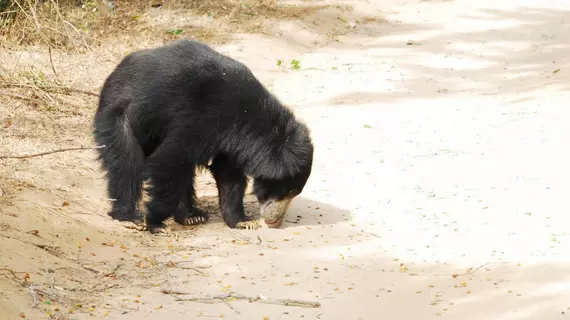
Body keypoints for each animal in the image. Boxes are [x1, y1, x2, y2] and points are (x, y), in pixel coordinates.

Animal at [95, 40, 312, 235]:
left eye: (293, 192)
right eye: (287, 191)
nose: (275, 221)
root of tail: (115, 73)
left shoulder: (232, 141)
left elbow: (227, 173)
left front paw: (243, 221)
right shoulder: (201, 120)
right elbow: (168, 160)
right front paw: (156, 222)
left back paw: (191, 216)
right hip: (120, 115)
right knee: (126, 164)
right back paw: (130, 217)